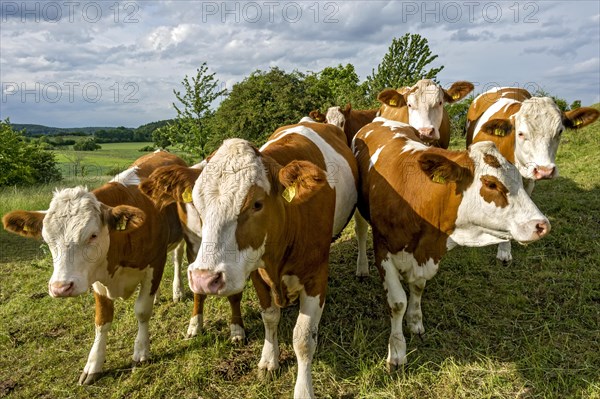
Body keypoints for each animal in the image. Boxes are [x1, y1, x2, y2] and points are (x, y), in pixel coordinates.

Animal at [1, 152, 185, 386]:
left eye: (93, 235)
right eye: (47, 239)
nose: (60, 287)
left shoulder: (156, 261)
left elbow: (142, 311)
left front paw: (141, 353)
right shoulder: (97, 279)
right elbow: (102, 320)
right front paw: (94, 365)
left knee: (177, 259)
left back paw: (177, 292)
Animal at [148, 123, 358, 398]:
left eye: (257, 204)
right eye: (198, 204)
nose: (204, 278)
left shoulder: (316, 276)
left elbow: (303, 338)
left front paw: (303, 389)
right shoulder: (257, 273)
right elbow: (269, 317)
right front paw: (269, 360)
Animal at [354, 118, 552, 372]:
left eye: (519, 178)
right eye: (491, 184)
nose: (542, 225)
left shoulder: (426, 255)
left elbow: (418, 288)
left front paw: (415, 321)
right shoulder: (384, 250)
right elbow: (398, 302)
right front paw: (397, 351)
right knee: (360, 232)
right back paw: (362, 268)